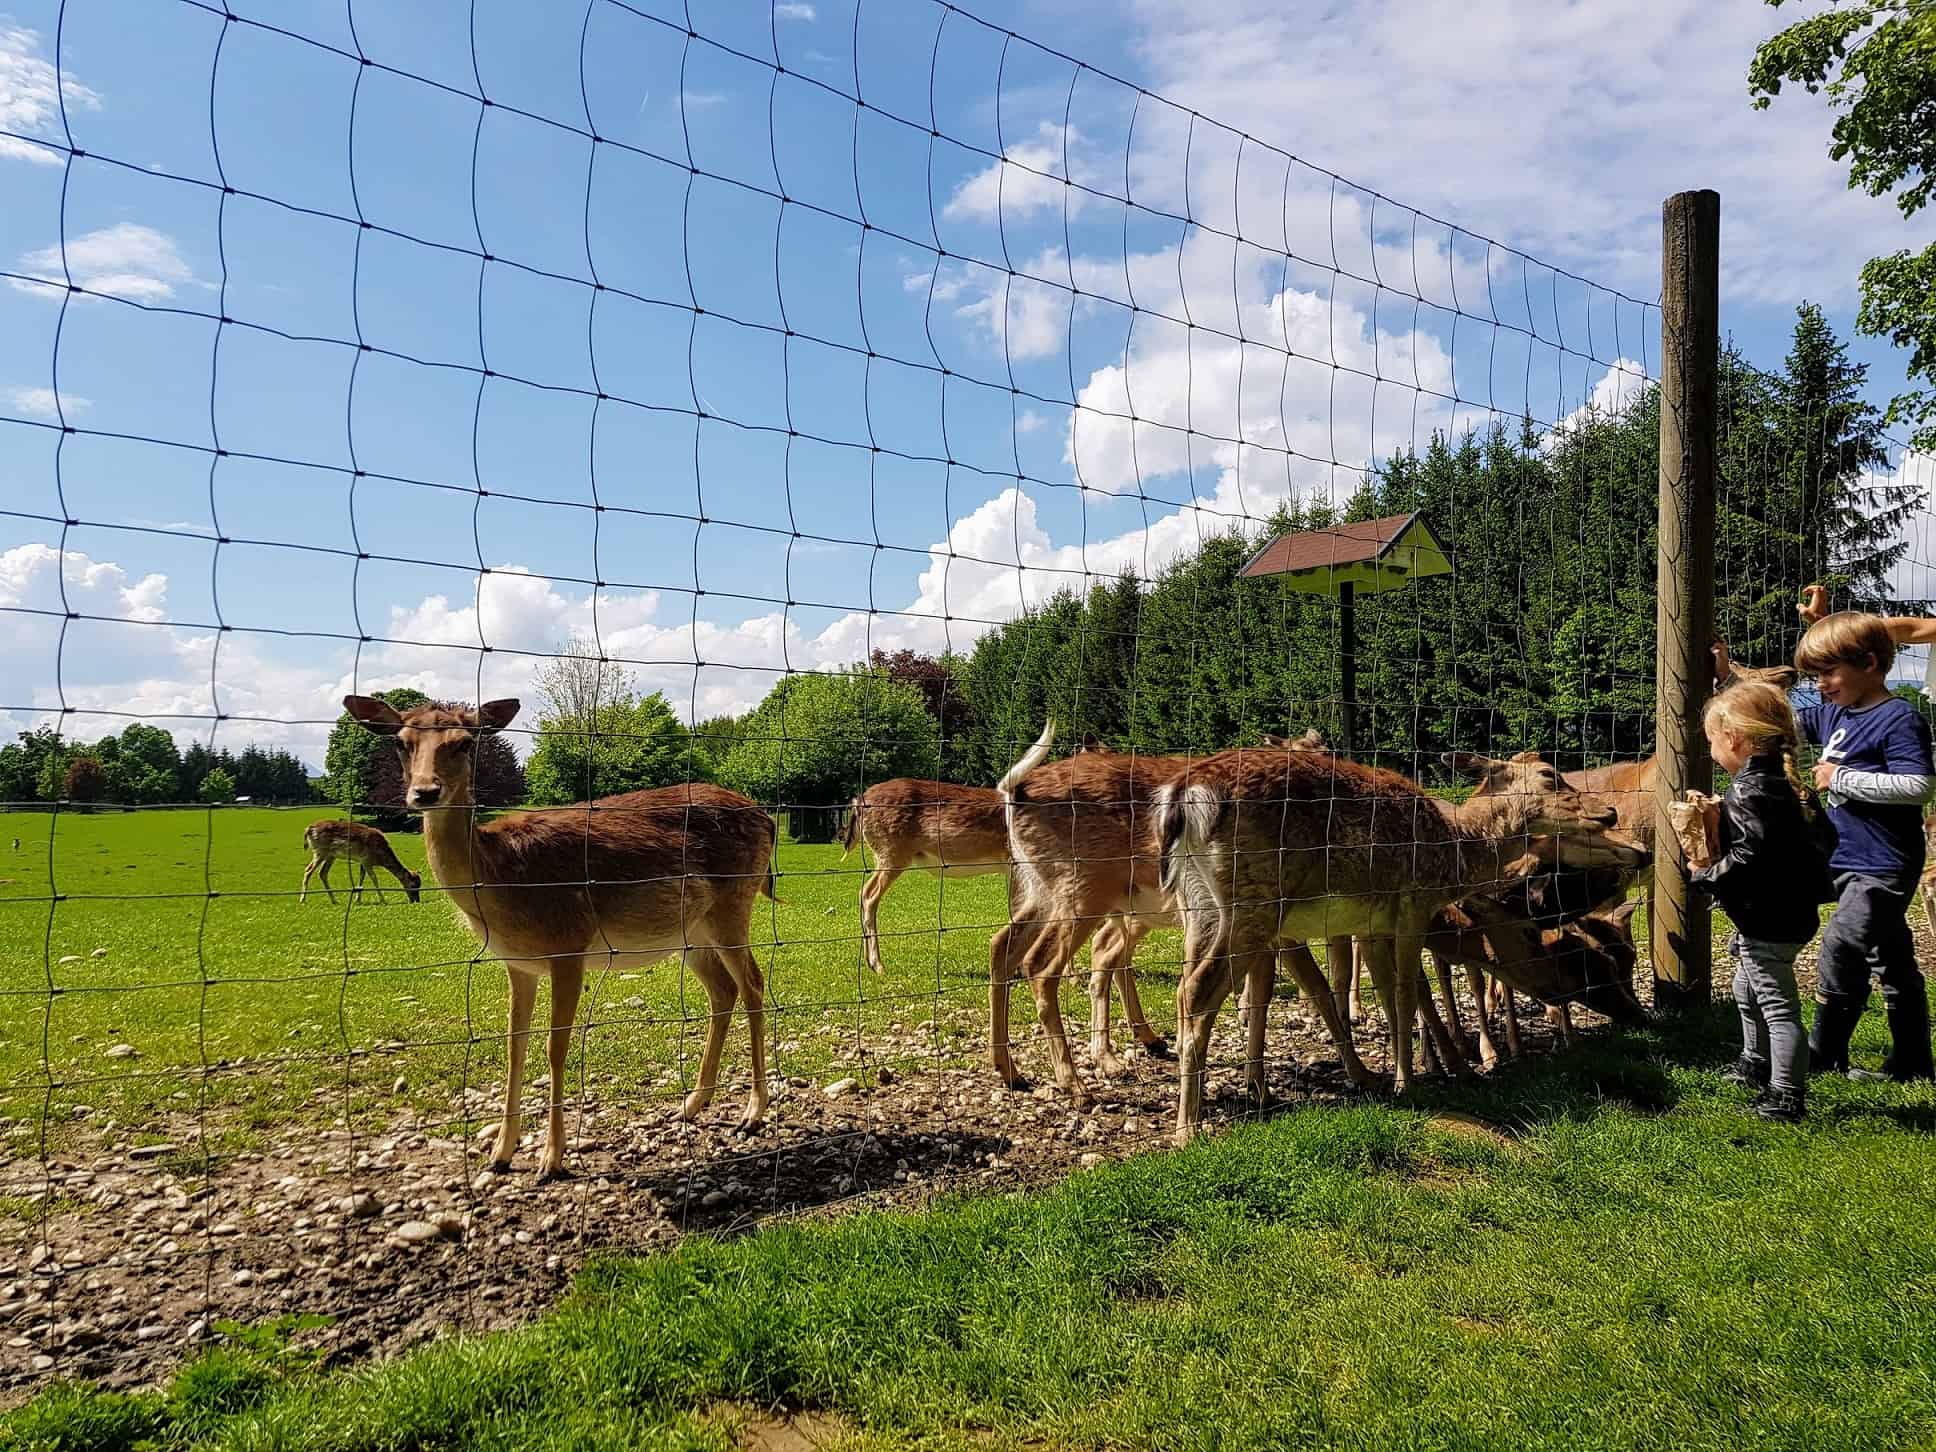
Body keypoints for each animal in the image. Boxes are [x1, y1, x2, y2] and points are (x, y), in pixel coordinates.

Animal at [344, 696, 774, 1184]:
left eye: (466, 742)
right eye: (401, 742)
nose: (425, 792)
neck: (502, 882)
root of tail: (767, 816)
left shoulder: (569, 944)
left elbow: (555, 1047)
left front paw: (551, 1160)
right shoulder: (517, 963)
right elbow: (514, 1046)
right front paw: (500, 1153)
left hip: (733, 905)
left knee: (753, 983)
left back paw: (753, 1111)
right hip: (692, 932)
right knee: (723, 990)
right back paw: (691, 1104)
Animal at [1153, 743, 1641, 1146]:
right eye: (1548, 774)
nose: (1609, 812)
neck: (1456, 851)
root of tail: (1184, 797)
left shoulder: (1374, 923)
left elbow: (1389, 993)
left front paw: (1406, 1070)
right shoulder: (1412, 903)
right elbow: (1407, 993)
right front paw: (1409, 1081)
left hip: (1197, 904)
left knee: (1182, 989)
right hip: (1254, 902)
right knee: (1199, 991)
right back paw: (1188, 1129)